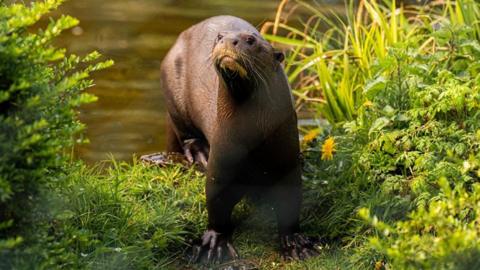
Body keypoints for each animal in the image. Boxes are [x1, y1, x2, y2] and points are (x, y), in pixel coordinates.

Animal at [161, 15, 318, 264]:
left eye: (250, 40)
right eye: (219, 37)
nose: (227, 41)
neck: (252, 138)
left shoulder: (287, 161)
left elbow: (290, 204)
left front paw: (296, 243)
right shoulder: (222, 161)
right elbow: (217, 205)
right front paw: (213, 243)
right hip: (172, 89)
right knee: (184, 133)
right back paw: (199, 152)